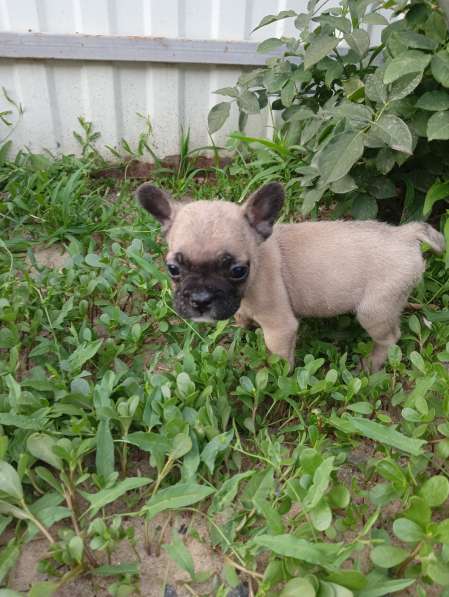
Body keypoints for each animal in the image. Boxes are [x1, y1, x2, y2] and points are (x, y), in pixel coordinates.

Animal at [135, 182, 442, 370]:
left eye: (238, 271)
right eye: (173, 269)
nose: (200, 299)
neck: (259, 262)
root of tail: (404, 234)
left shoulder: (279, 328)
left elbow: (278, 357)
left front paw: (277, 380)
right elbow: (241, 316)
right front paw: (240, 327)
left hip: (374, 311)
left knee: (389, 337)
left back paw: (372, 363)